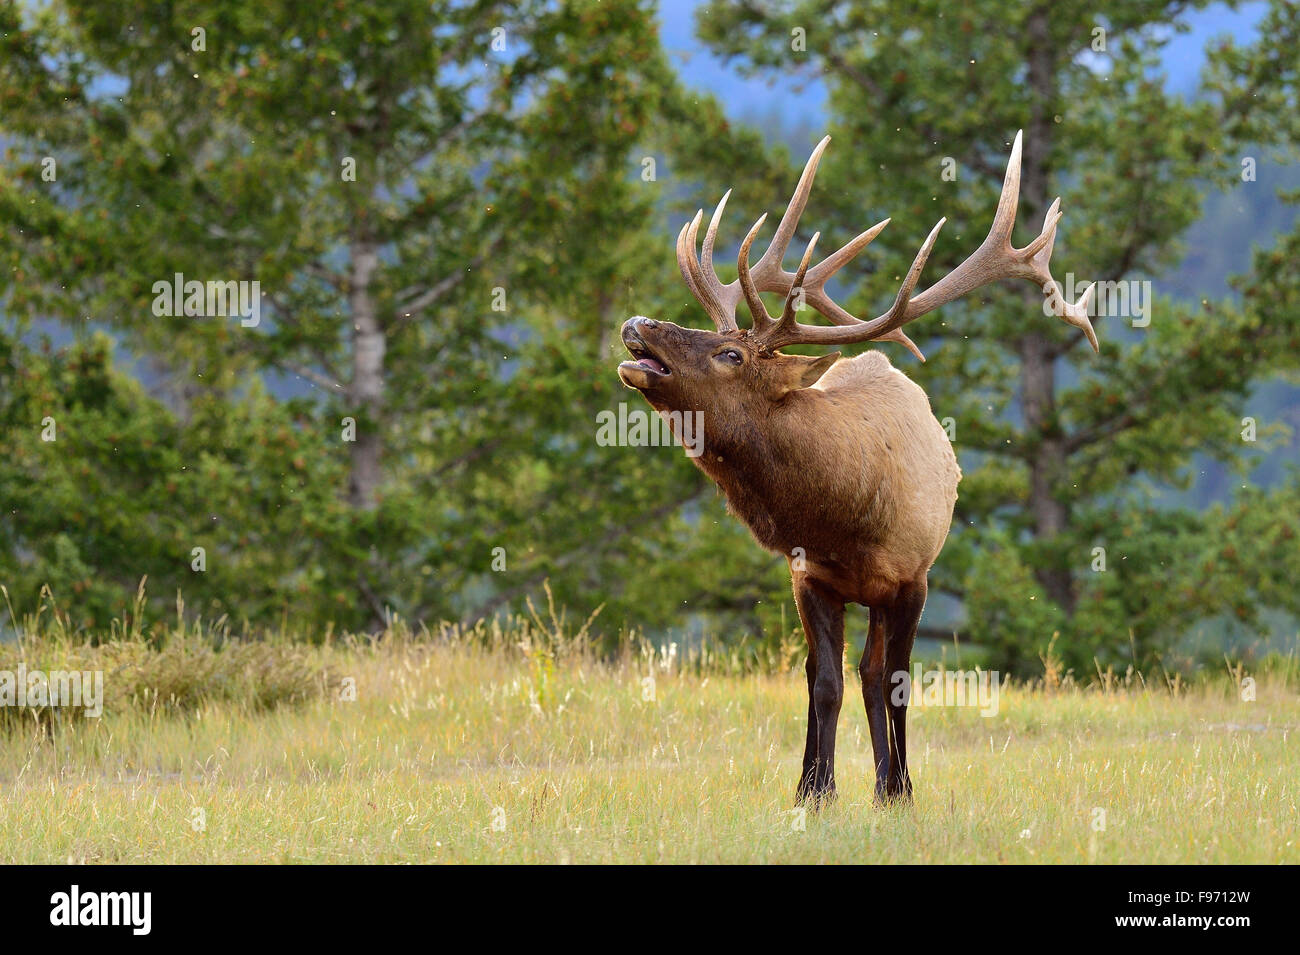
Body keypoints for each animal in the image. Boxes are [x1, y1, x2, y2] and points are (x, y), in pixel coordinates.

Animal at [616, 132, 1097, 805]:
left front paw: (900, 788)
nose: (638, 323)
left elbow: (894, 681)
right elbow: (824, 683)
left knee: (875, 675)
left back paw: (888, 783)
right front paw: (815, 791)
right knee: (835, 674)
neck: (846, 521)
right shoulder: (809, 579)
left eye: (731, 353)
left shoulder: (914, 578)